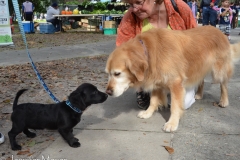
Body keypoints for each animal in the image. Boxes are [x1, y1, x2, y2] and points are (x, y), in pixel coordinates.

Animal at [105, 25, 240, 132]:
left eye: (117, 73)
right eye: (108, 73)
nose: (108, 92)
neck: (149, 52)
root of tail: (219, 31)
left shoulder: (176, 84)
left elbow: (175, 106)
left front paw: (172, 123)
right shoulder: (156, 82)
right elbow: (153, 101)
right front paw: (148, 113)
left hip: (218, 71)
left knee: (224, 84)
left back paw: (224, 101)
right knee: (201, 80)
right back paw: (199, 94)